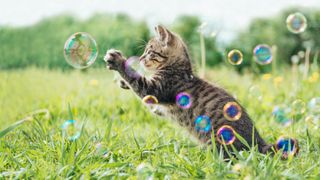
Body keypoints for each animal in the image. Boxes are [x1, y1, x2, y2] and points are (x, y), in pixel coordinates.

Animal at [104, 24, 272, 157]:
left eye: (149, 52)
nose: (140, 59)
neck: (177, 68)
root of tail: (258, 141)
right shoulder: (160, 105)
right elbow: (152, 104)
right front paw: (123, 82)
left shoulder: (156, 89)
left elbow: (139, 83)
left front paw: (118, 61)